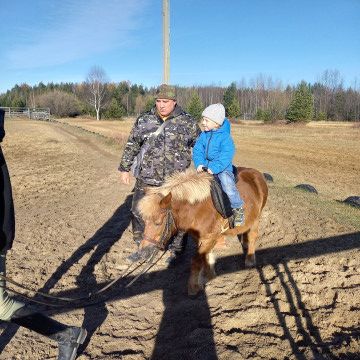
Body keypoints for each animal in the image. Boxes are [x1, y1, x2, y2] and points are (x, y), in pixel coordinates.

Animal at [137, 166, 268, 296]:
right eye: (144, 220)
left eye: (158, 222)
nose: (143, 252)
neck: (197, 209)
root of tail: (256, 173)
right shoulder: (199, 237)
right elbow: (206, 256)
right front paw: (209, 276)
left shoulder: (210, 237)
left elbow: (196, 260)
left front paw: (193, 287)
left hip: (257, 218)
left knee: (252, 236)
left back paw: (250, 259)